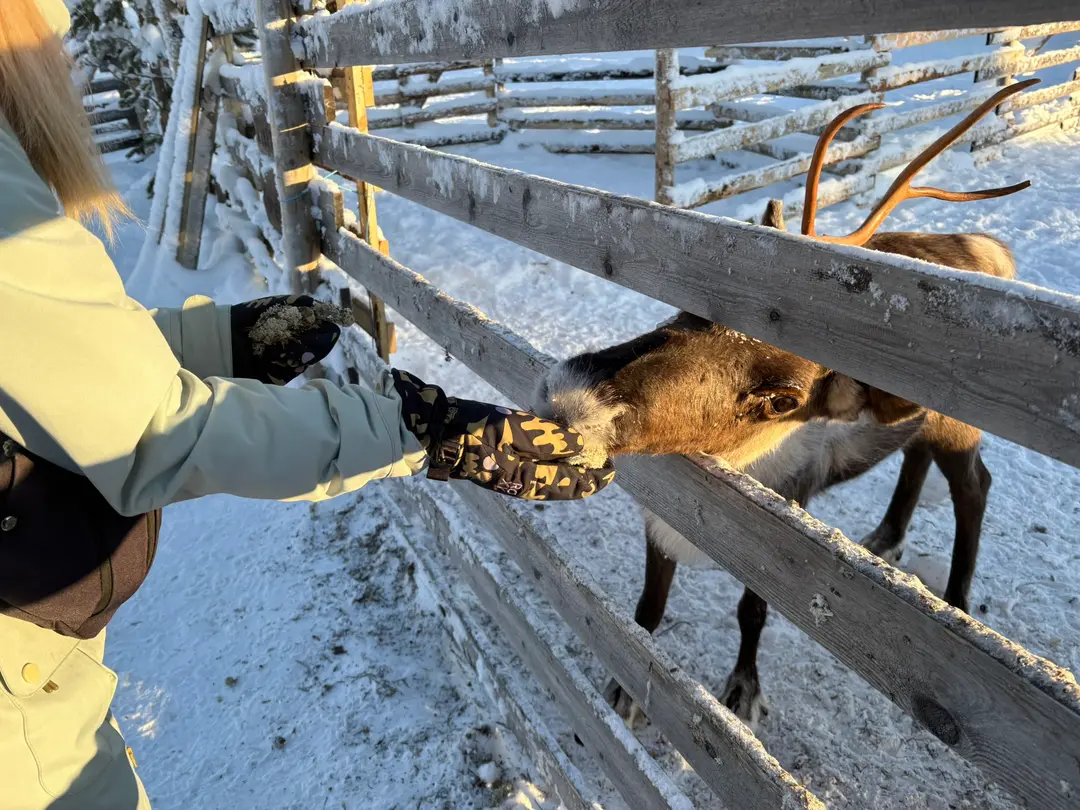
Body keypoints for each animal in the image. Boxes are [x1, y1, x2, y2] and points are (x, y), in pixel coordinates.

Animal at [531, 78, 1038, 728]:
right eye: (697, 305)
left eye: (781, 400)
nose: (575, 396)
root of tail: (992, 252)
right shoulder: (659, 520)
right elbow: (649, 602)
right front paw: (627, 687)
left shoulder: (785, 519)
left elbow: (751, 614)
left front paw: (743, 689)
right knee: (914, 455)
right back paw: (886, 536)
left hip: (959, 430)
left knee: (975, 486)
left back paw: (956, 601)